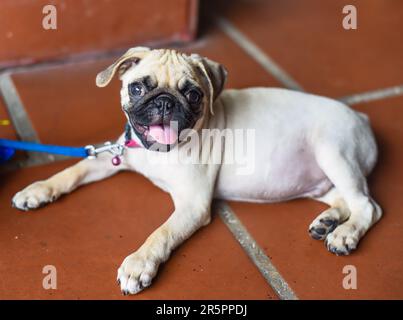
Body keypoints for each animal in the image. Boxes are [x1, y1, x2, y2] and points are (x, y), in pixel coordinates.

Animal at [11, 47, 384, 296]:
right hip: (324, 179)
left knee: (368, 206)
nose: (164, 102)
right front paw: (39, 189)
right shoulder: (114, 156)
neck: (158, 153)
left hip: (333, 153)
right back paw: (328, 221)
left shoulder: (192, 205)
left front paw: (139, 263)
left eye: (192, 94)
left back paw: (345, 234)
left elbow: (160, 234)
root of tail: (362, 118)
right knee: (348, 200)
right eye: (137, 87)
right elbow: (73, 170)